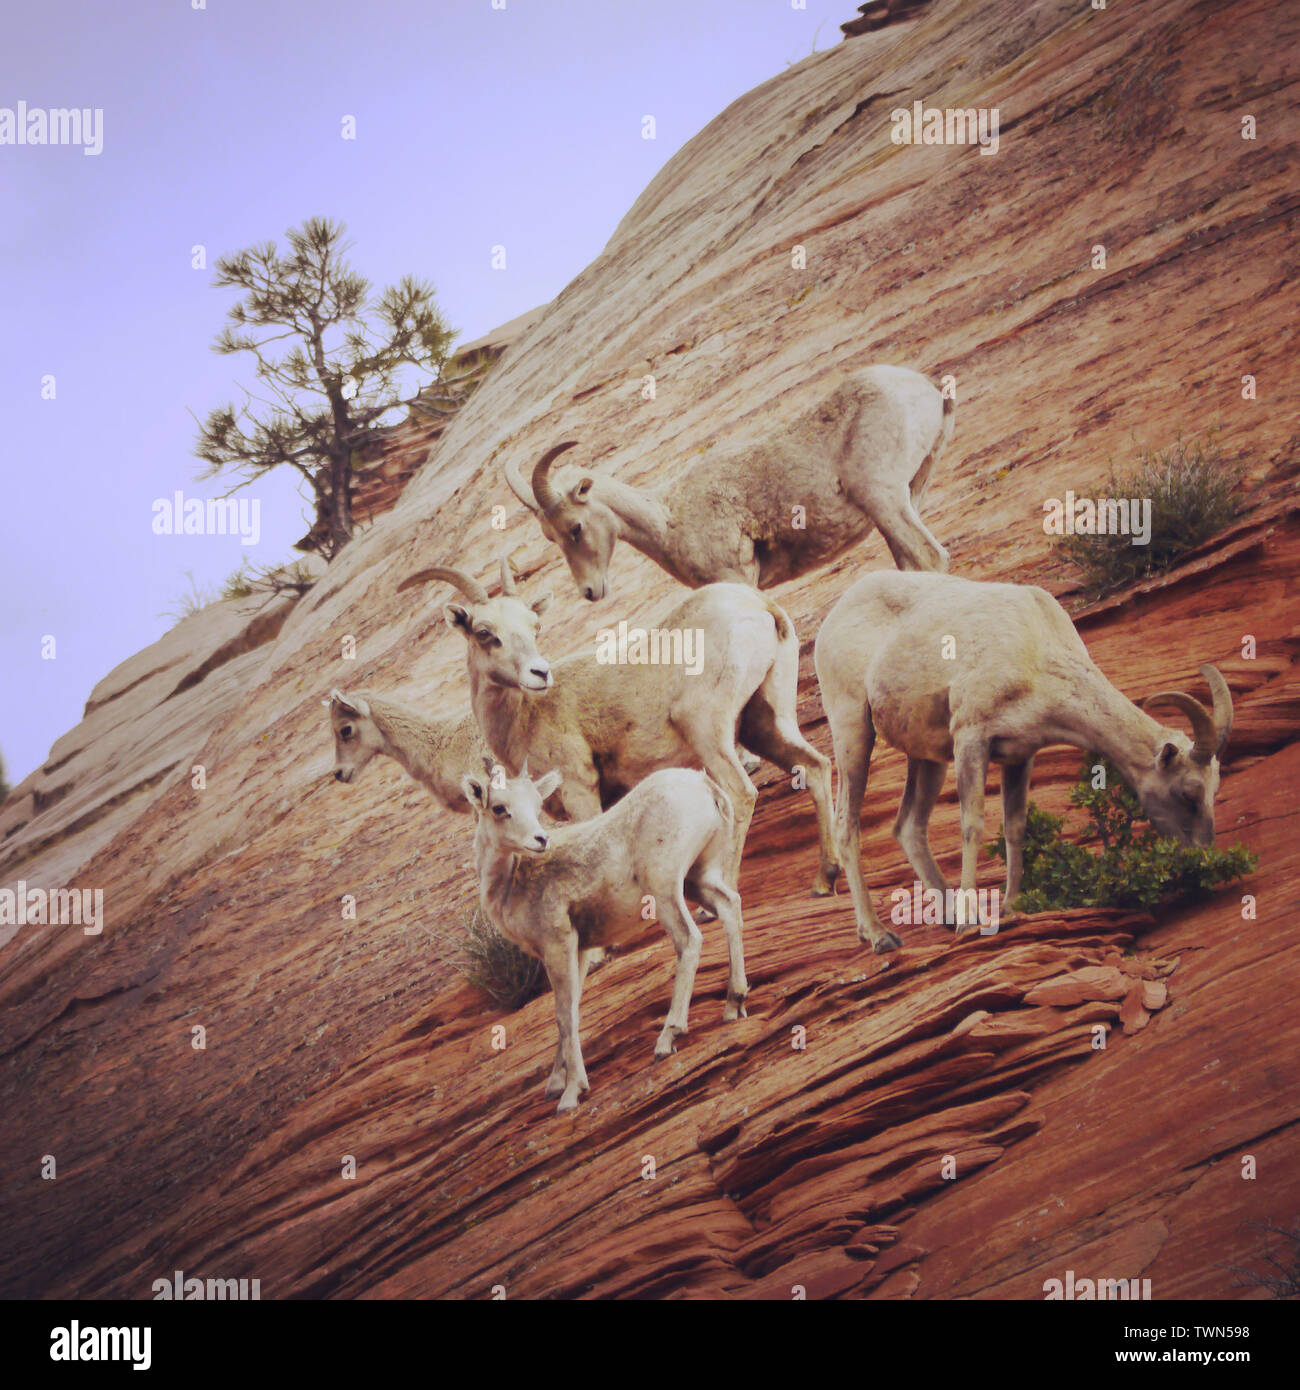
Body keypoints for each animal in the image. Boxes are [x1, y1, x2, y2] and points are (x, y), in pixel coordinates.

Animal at [405, 558, 840, 897]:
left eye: (534, 627)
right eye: (484, 633)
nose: (539, 673)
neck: (525, 717)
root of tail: (760, 606)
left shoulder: (580, 790)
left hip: (707, 732)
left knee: (741, 794)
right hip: (764, 721)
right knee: (815, 766)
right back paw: (825, 878)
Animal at [462, 762, 747, 1114]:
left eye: (536, 805)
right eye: (500, 808)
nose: (540, 840)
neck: (510, 884)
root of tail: (704, 785)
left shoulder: (558, 944)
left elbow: (563, 1014)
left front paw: (571, 1095)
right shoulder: (580, 950)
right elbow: (571, 1010)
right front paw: (555, 1084)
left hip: (665, 889)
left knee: (689, 940)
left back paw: (667, 1039)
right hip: (699, 878)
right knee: (730, 905)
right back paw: (734, 1004)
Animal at [505, 363, 954, 600]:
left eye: (575, 527)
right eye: (550, 537)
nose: (590, 591)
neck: (669, 521)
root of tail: (927, 391)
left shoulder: (740, 582)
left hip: (882, 498)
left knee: (929, 557)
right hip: (909, 494)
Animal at [813, 570, 1234, 950]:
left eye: (1214, 791)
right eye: (1188, 794)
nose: (1204, 859)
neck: (1037, 650)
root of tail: (831, 620)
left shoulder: (1020, 755)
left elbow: (1015, 826)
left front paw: (1013, 909)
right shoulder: (971, 738)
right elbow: (973, 826)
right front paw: (970, 922)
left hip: (926, 756)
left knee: (908, 826)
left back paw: (943, 915)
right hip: (853, 730)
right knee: (847, 826)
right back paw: (879, 936)